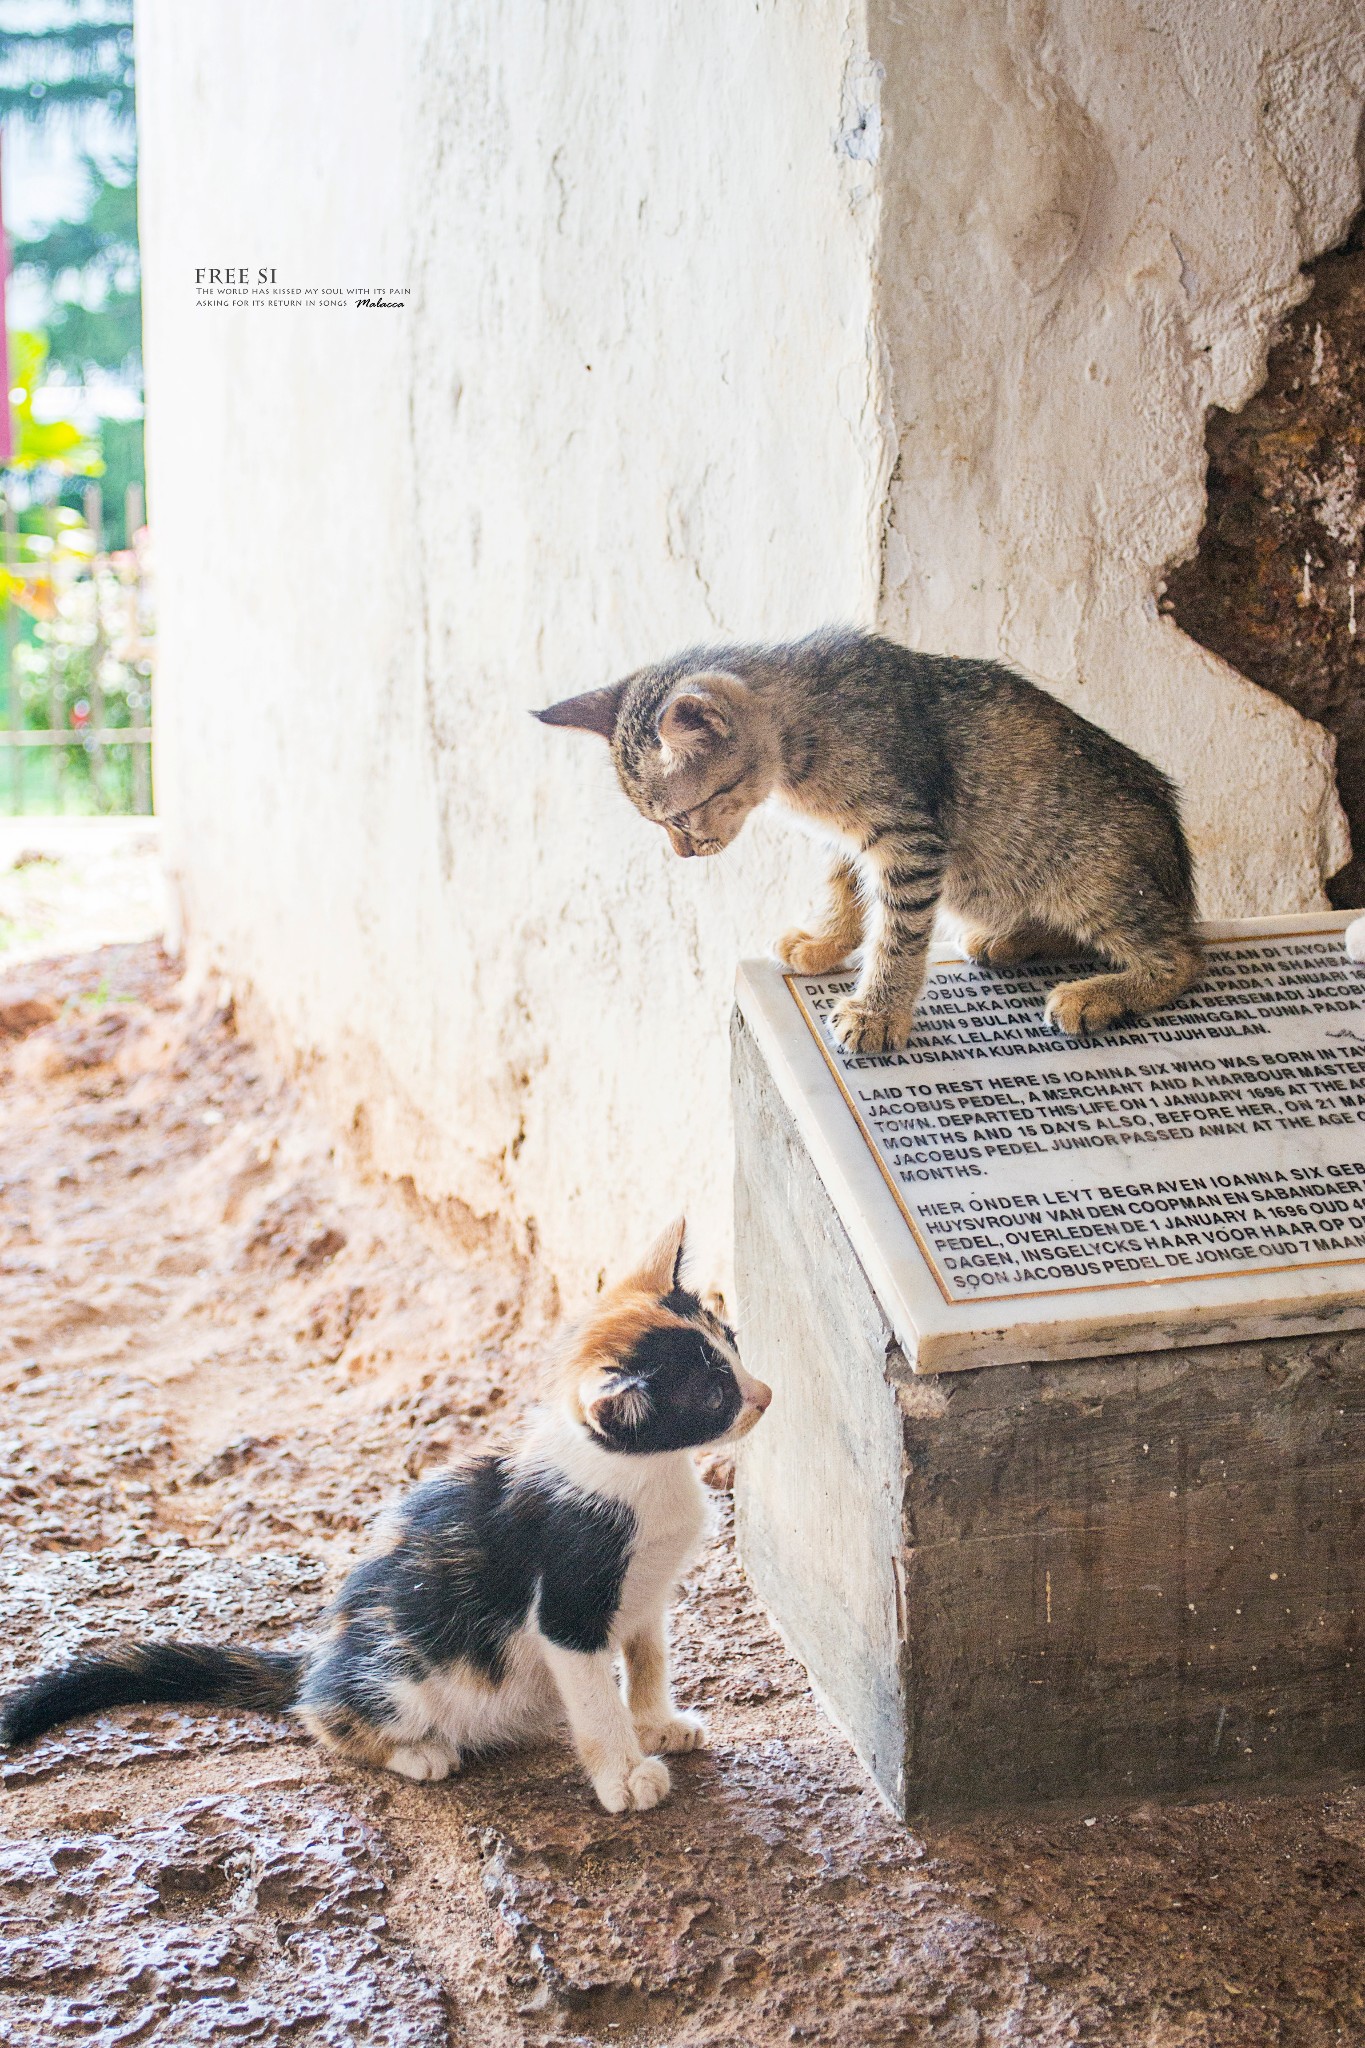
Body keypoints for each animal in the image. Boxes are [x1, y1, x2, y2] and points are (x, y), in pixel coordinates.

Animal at [0, 1212, 769, 1810]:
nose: (763, 1396)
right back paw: (413, 1752)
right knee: (323, 1718)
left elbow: (647, 1656)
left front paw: (657, 1721)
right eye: (712, 1396)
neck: (645, 1477)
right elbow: (594, 1698)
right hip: (397, 1676)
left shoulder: (644, 1594)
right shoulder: (569, 1599)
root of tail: (321, 1658)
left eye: (733, 1343)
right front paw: (624, 1773)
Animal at [540, 630, 1203, 1056]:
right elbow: (846, 889)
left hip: (1090, 872)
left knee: (1182, 955)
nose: (681, 854)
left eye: (680, 817)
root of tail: (1177, 861)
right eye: (656, 824)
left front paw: (878, 1011)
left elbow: (898, 933)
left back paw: (1098, 993)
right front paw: (825, 942)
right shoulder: (852, 841)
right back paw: (1010, 939)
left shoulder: (908, 840)